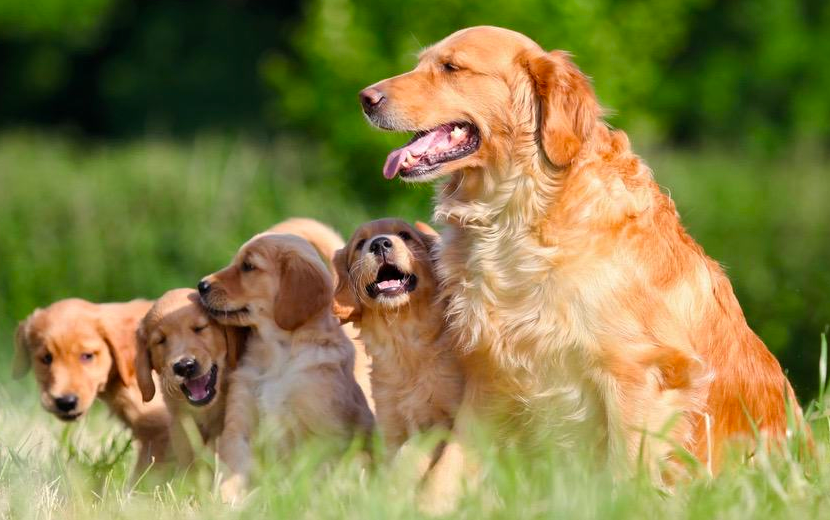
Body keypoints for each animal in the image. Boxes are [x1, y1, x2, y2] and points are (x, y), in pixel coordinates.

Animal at [198, 234, 374, 502]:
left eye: (248, 266)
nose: (201, 285)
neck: (277, 355)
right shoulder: (239, 426)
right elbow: (233, 473)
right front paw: (225, 503)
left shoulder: (322, 431)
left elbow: (314, 477)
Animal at [360, 24, 808, 480]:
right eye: (419, 63)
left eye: (451, 67)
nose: (366, 97)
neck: (515, 215)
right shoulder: (489, 376)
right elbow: (445, 471)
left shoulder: (636, 375)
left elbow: (626, 474)